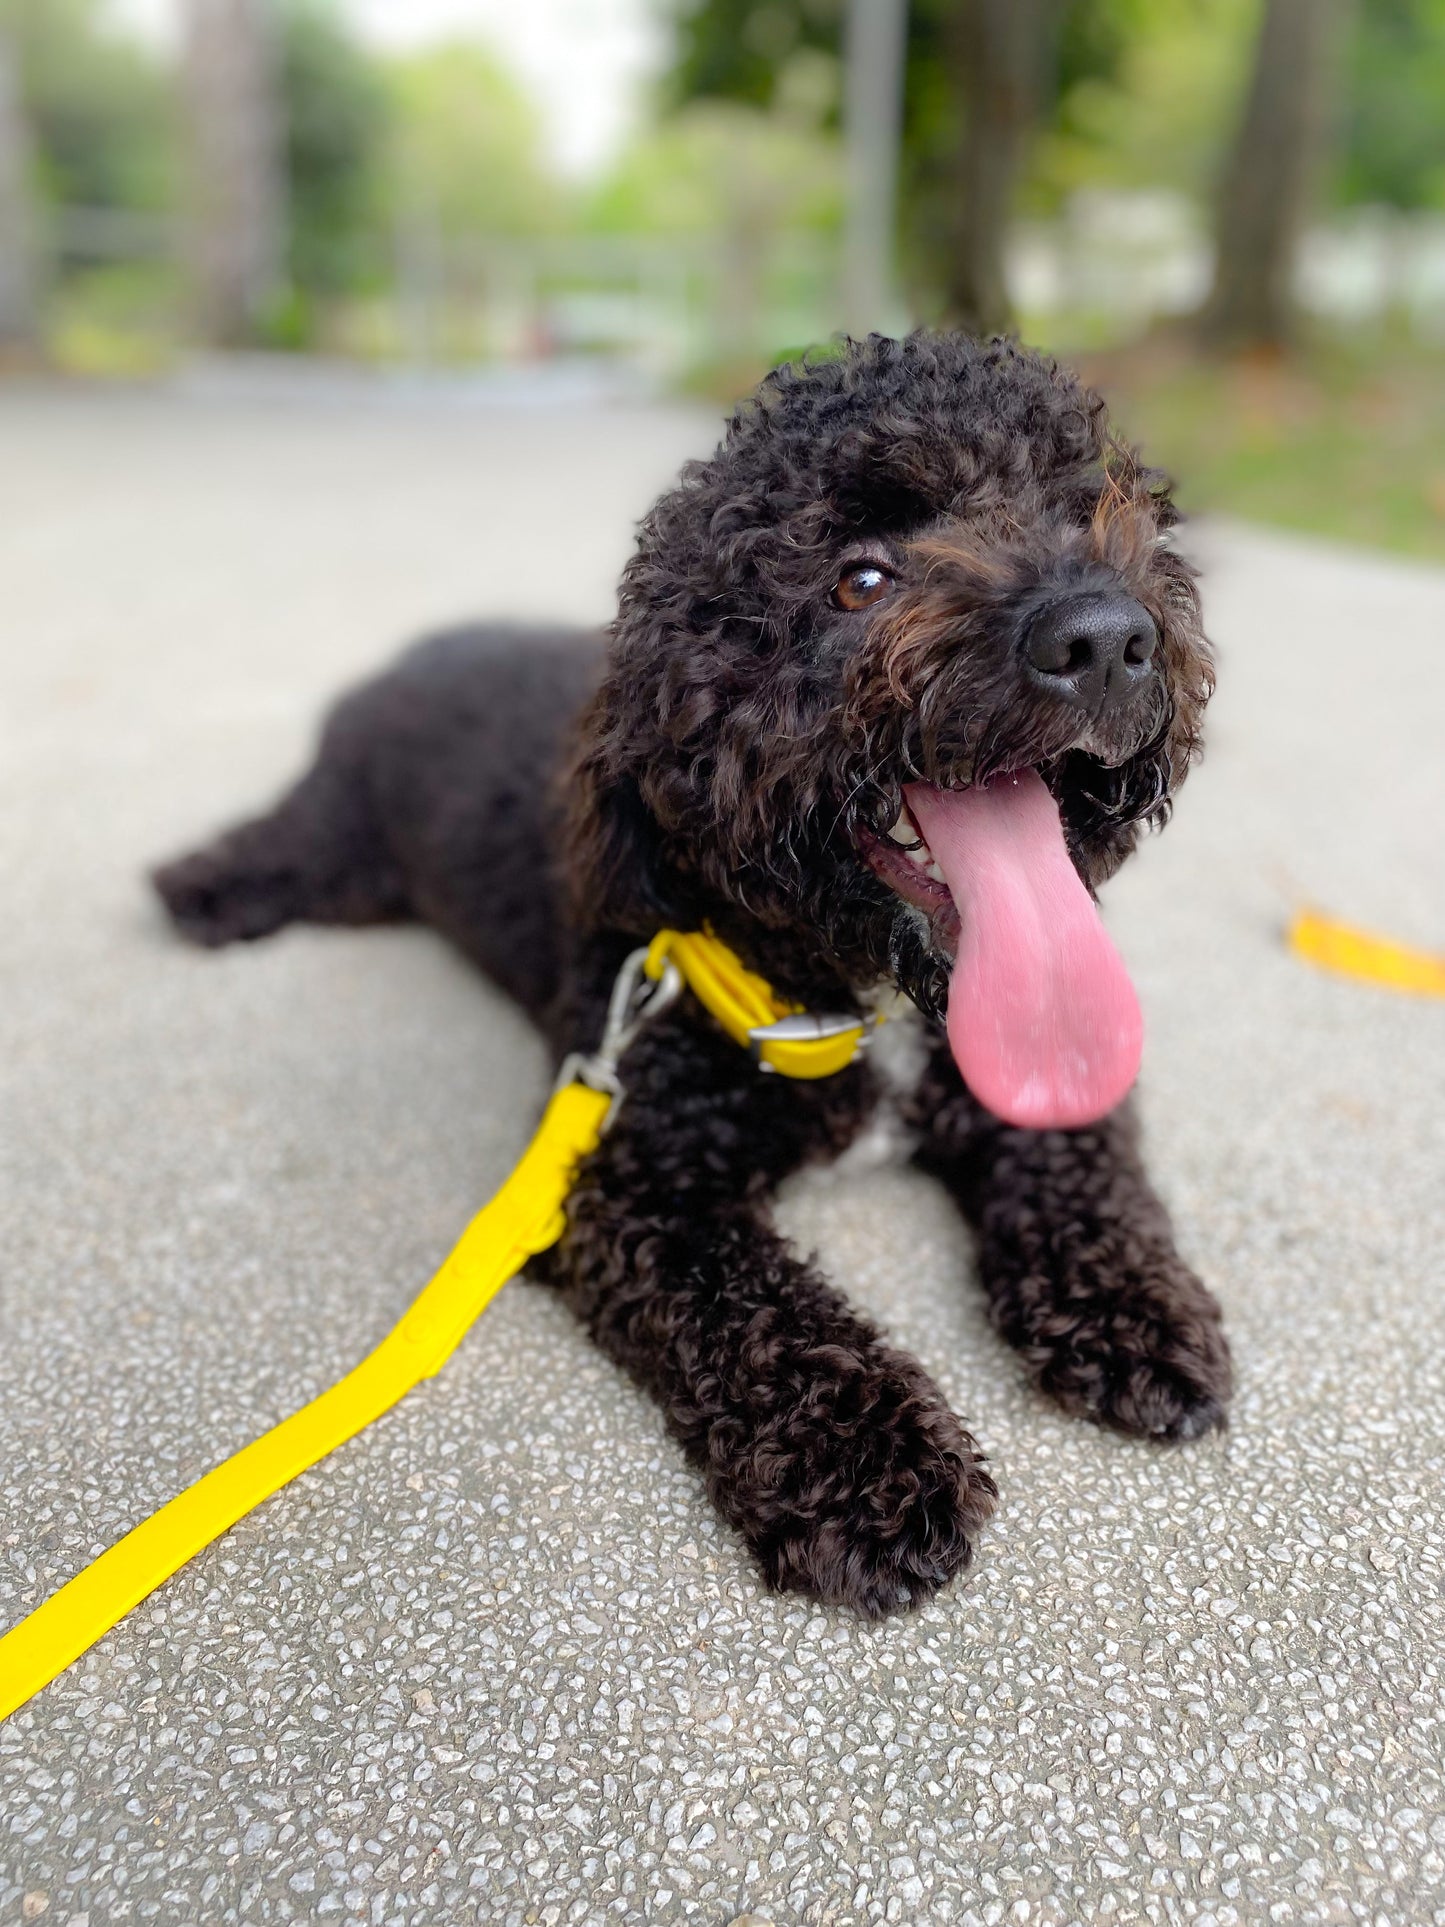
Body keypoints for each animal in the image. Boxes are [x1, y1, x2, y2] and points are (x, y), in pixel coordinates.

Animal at [157, 335, 1233, 1626]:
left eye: (1088, 512)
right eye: (858, 578)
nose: (1104, 634)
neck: (854, 998)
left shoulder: (1027, 1086)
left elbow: (1085, 1173)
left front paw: (1134, 1309)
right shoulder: (622, 1173)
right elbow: (755, 1307)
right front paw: (867, 1463)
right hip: (340, 844)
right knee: (279, 842)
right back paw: (202, 889)